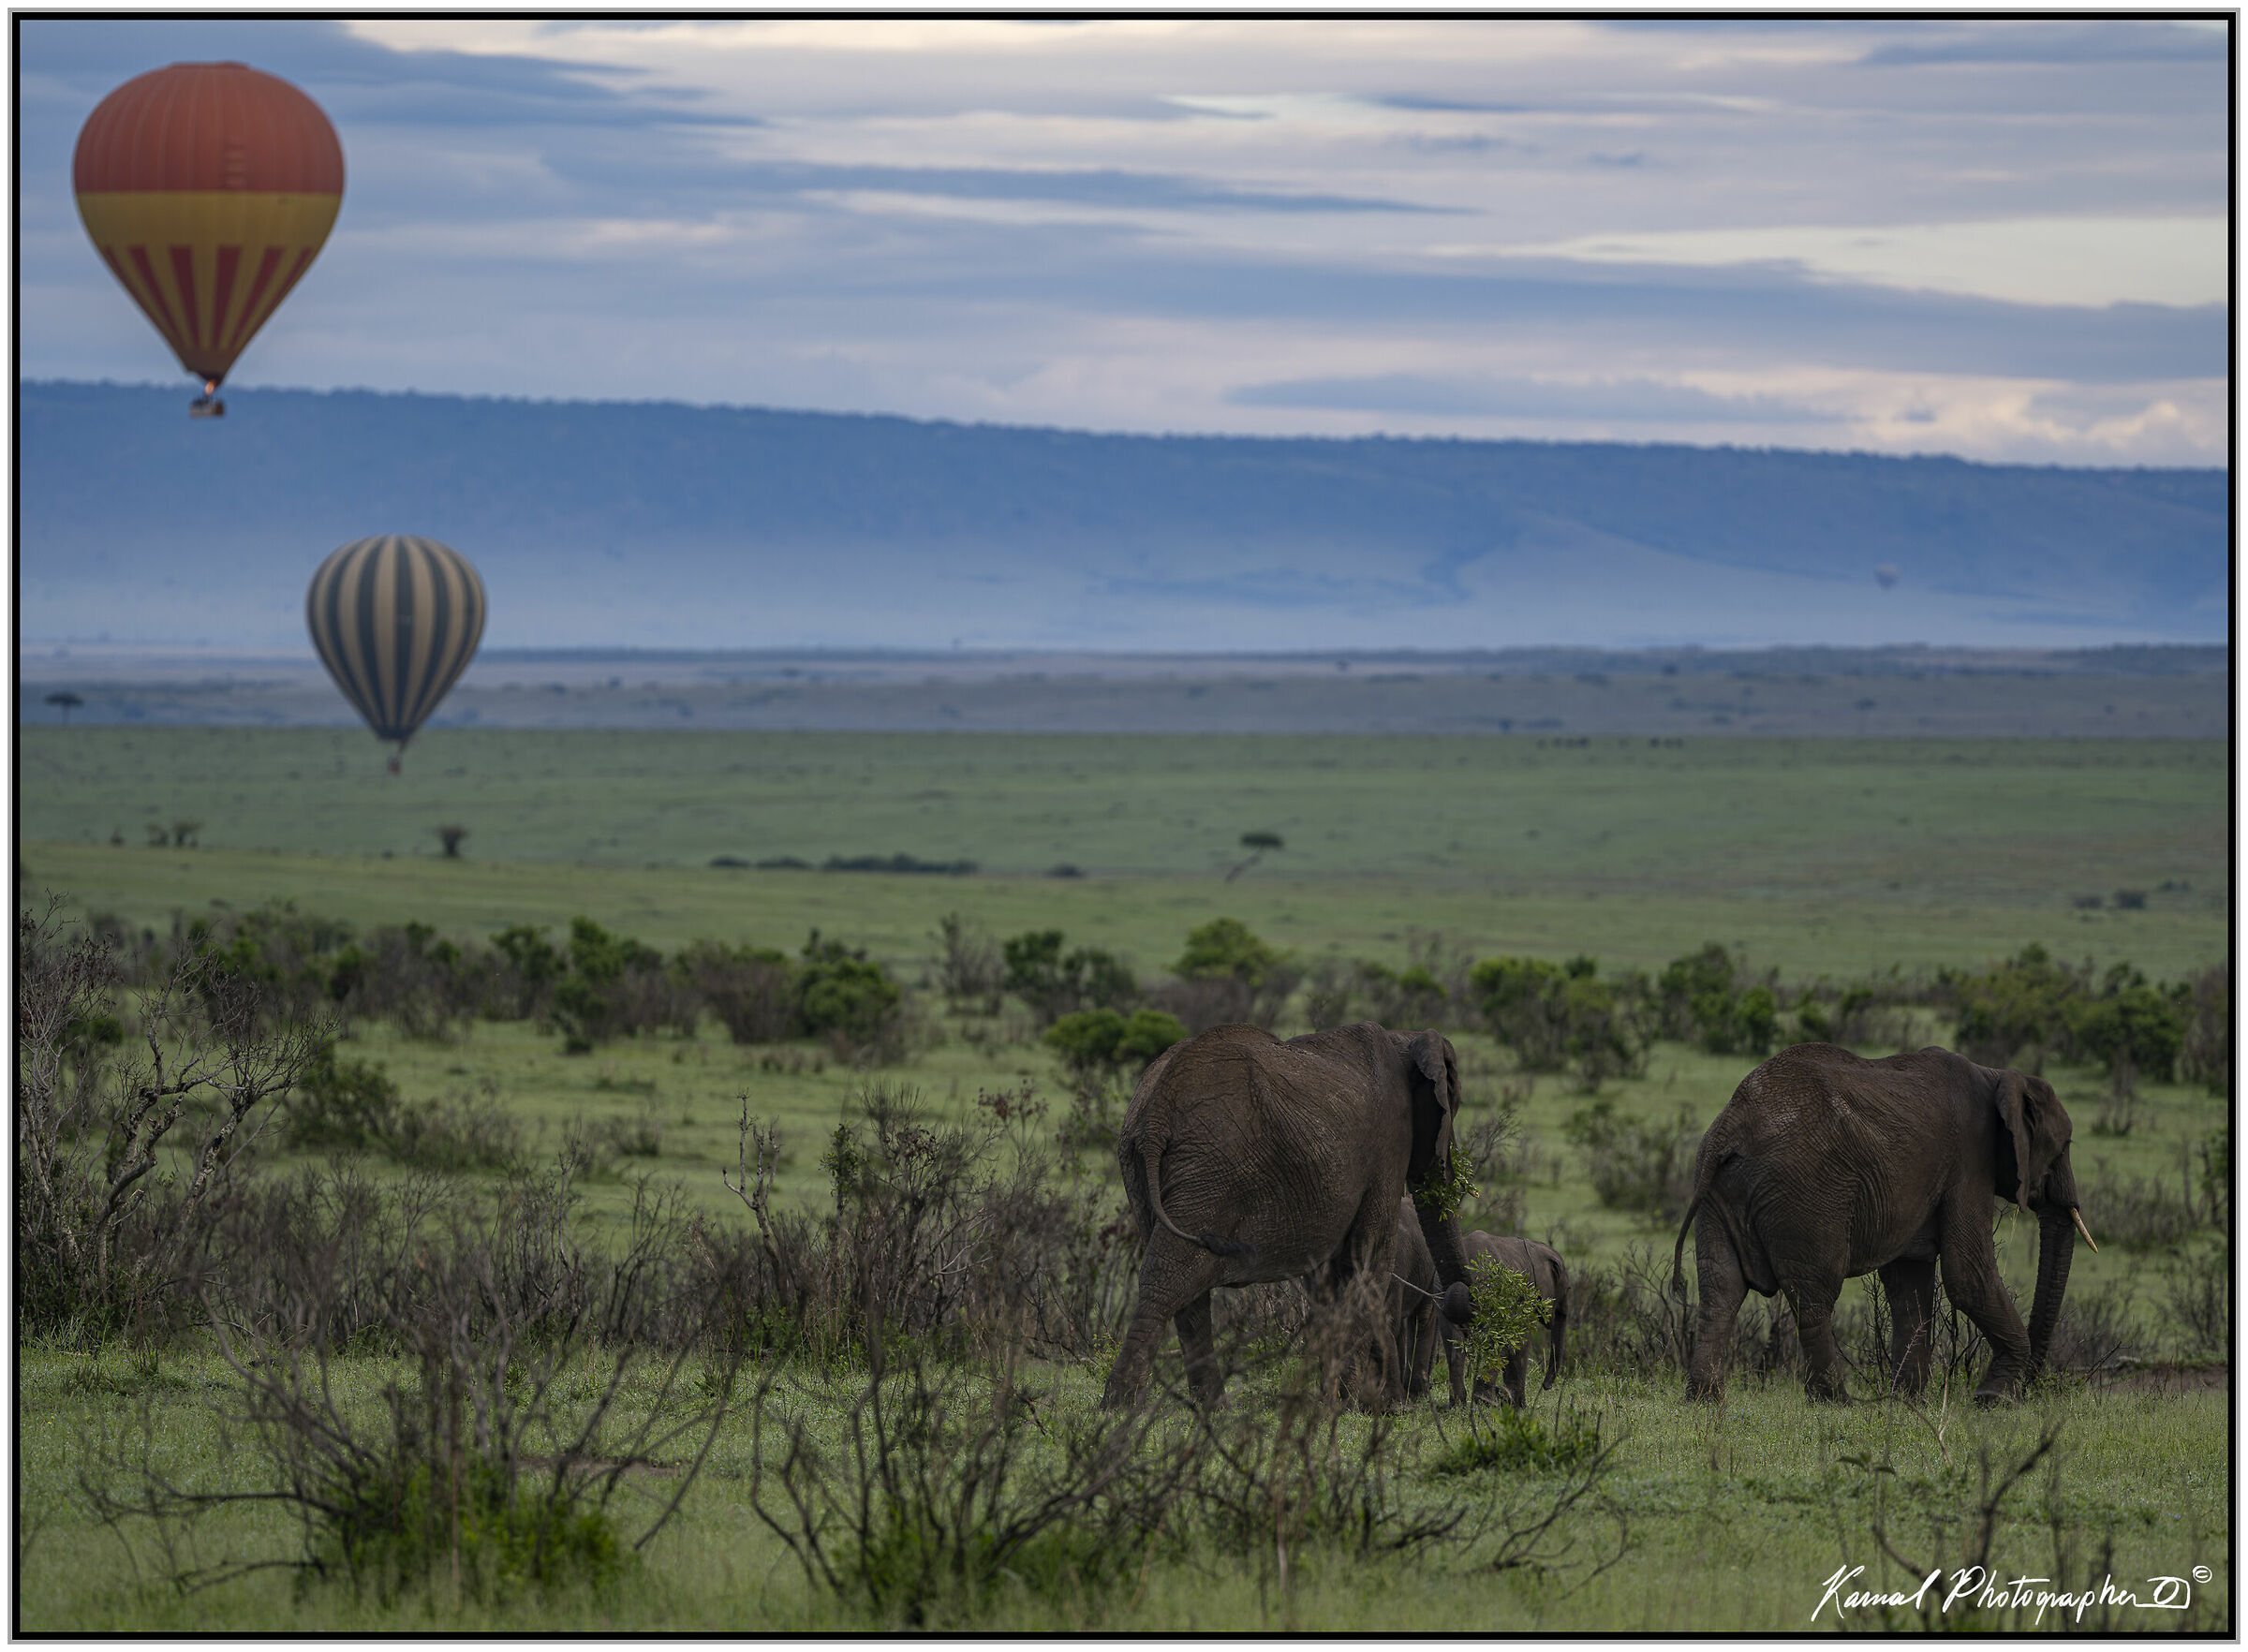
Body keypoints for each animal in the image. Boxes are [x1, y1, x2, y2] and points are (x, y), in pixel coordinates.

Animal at [1101, 1022, 1473, 1410]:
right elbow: (1369, 1258)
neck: (1405, 1037)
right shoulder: (1389, 1147)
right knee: (1169, 1279)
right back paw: (1122, 1405)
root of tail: (1156, 1114)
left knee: (1182, 1287)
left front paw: (1332, 1400)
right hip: (1207, 1170)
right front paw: (1351, 1405)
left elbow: (1329, 1278)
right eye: (1452, 1104)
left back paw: (1209, 1406)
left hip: (1141, 1166)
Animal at [1437, 1232, 1569, 1407]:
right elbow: (1520, 1339)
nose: (1546, 1386)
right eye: (1567, 1289)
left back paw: (1459, 1404)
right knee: (1494, 1342)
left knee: (1454, 1344)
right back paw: (1487, 1402)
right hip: (1491, 1293)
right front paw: (1520, 1406)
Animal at [1672, 1042, 2097, 1405]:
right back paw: (1836, 1402)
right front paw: (1994, 1400)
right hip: (1807, 1193)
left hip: (1717, 1190)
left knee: (1721, 1290)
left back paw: (1704, 1399)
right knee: (1814, 1295)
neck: (1996, 1076)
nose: (2032, 1388)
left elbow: (1909, 1283)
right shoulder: (1971, 1161)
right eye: (2065, 1146)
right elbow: (1968, 1276)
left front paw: (1906, 1401)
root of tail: (1731, 1125)